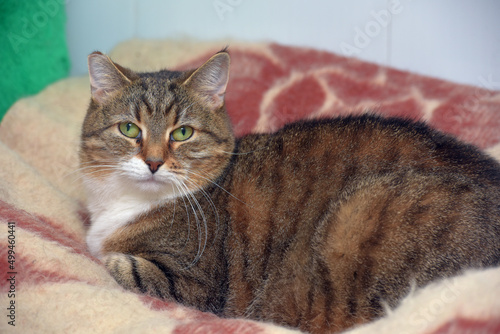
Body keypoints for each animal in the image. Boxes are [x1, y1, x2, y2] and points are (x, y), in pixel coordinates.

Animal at [80, 50, 500, 334]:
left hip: (358, 214)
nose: (153, 162)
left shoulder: (194, 286)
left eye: (182, 132)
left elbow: (119, 265)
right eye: (129, 129)